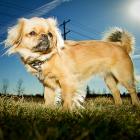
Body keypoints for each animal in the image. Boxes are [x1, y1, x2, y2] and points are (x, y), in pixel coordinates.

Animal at [4, 17, 139, 109]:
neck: (45, 57)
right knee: (116, 92)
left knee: (133, 91)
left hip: (124, 76)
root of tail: (121, 46)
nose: (45, 36)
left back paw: (135, 105)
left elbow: (66, 97)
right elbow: (48, 98)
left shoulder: (67, 80)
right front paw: (47, 110)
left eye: (50, 34)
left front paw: (65, 111)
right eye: (32, 33)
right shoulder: (48, 84)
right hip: (109, 79)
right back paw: (118, 106)